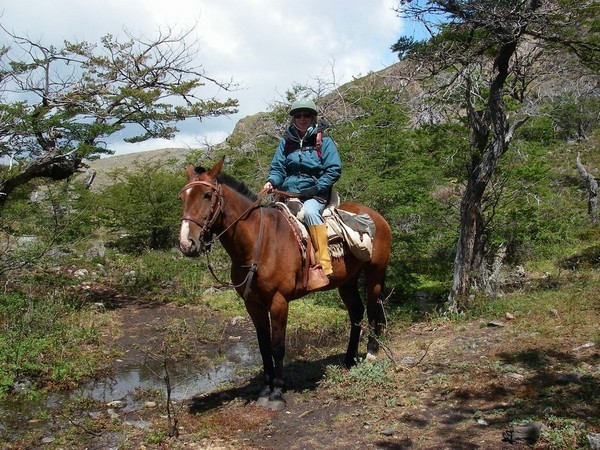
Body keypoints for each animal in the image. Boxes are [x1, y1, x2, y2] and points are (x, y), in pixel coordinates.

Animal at [177, 159, 394, 412]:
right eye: (183, 197)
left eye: (207, 195)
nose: (187, 244)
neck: (258, 243)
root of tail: (376, 216)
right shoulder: (253, 304)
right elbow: (263, 346)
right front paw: (265, 390)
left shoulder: (279, 301)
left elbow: (278, 346)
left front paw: (278, 392)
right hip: (347, 281)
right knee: (356, 313)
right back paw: (349, 359)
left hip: (374, 274)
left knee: (372, 310)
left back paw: (371, 353)